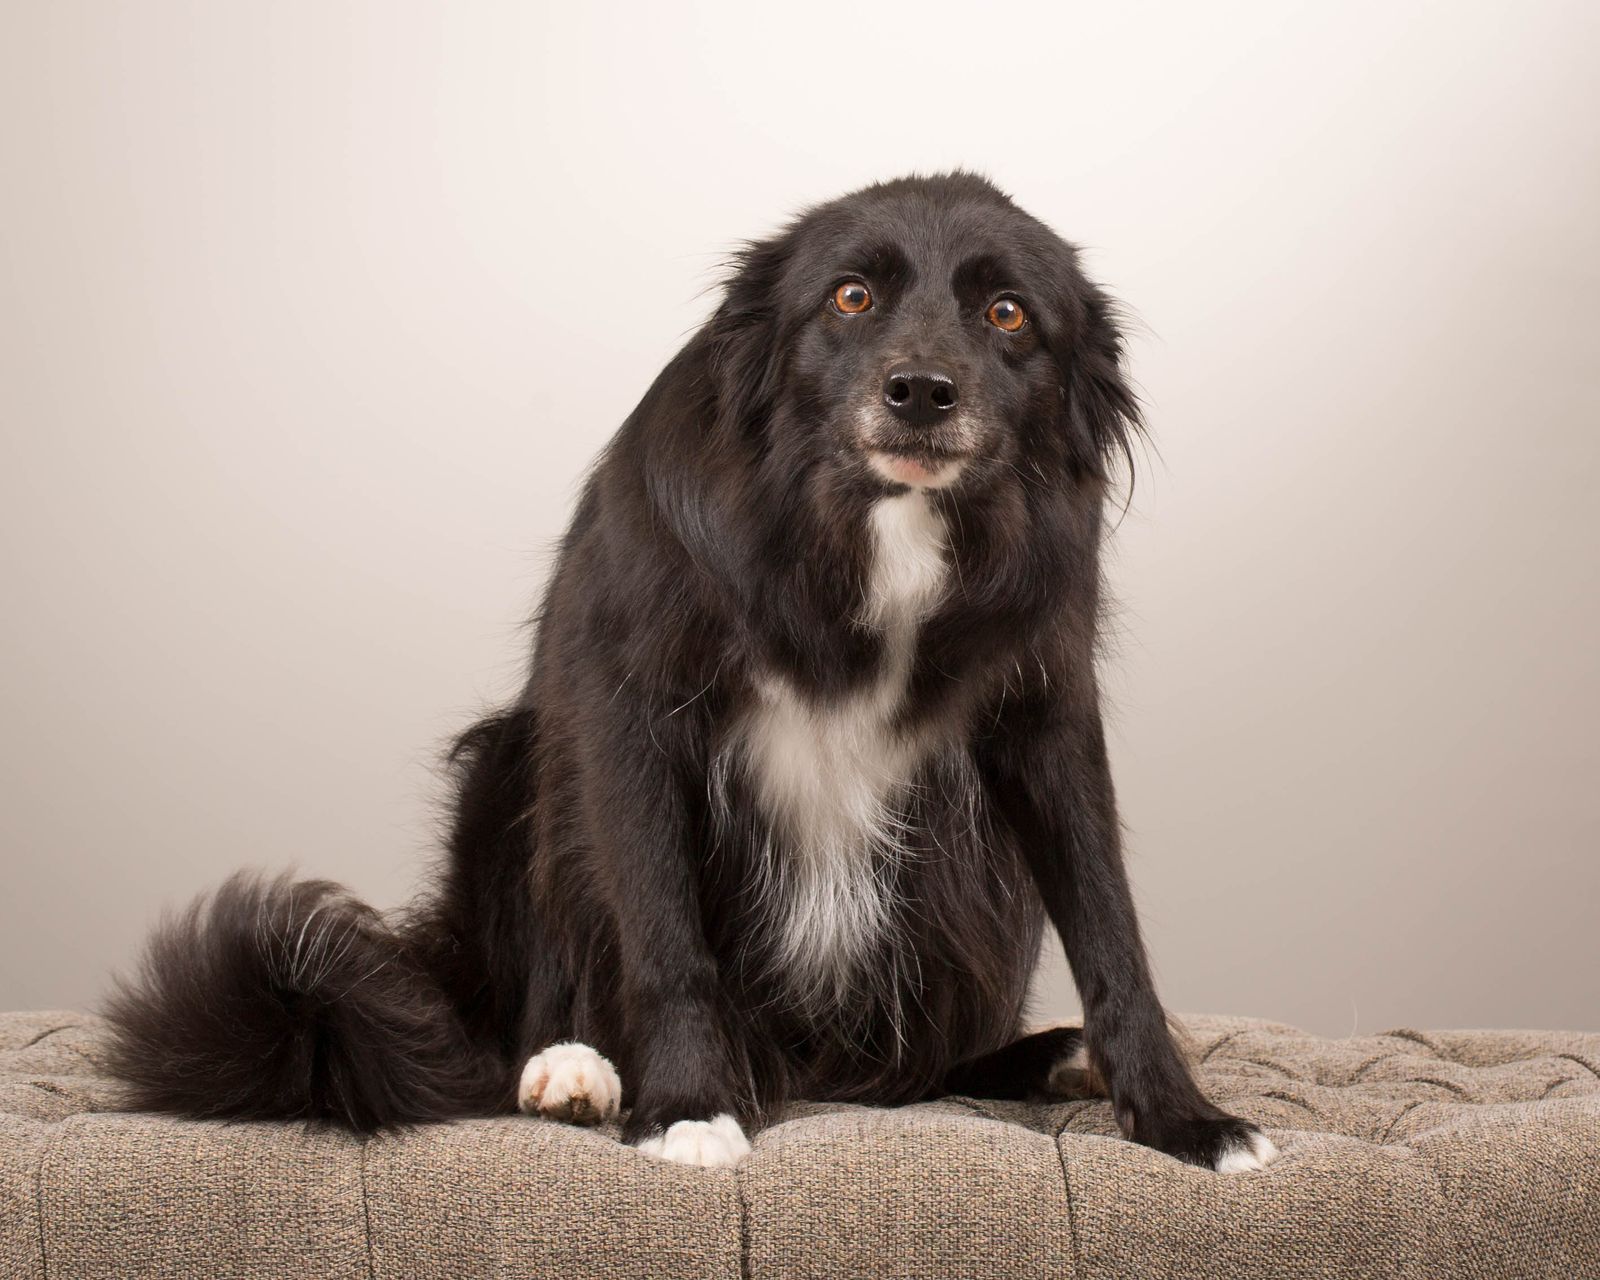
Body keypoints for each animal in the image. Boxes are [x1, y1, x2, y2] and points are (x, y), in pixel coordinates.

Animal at [105, 172, 1277, 1174]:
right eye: (851, 296)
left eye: (1008, 315)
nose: (920, 391)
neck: (870, 527)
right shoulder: (629, 707)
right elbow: (664, 931)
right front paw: (682, 1106)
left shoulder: (1047, 722)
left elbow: (1112, 926)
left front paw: (1180, 1115)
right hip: (512, 763)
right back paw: (571, 1068)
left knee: (913, 1066)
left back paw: (1043, 1056)